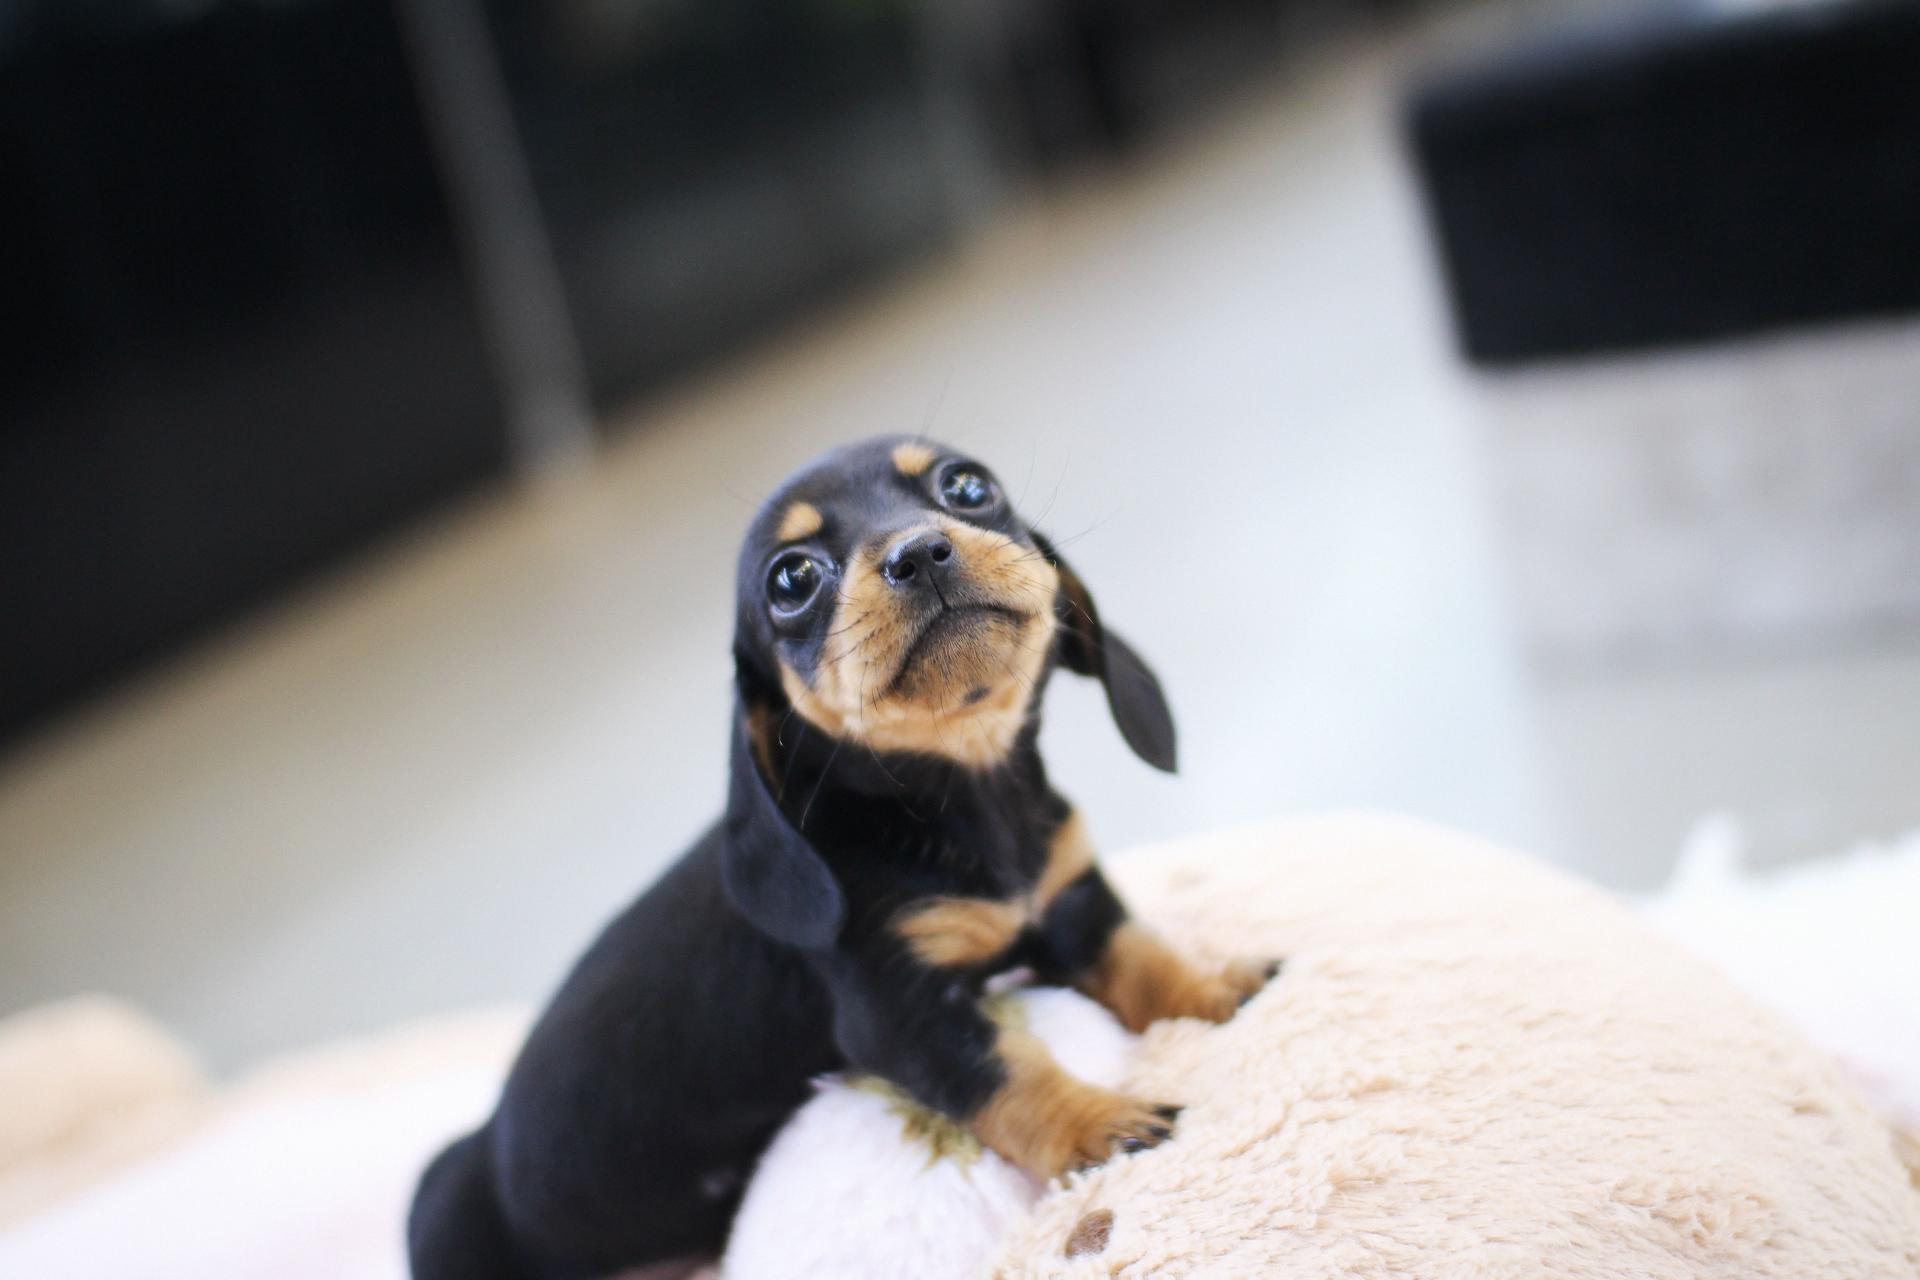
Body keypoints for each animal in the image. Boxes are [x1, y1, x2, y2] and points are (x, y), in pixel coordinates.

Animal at [408, 436, 1275, 1279]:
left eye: (968, 487)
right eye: (791, 578)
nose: (919, 553)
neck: (965, 804)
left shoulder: (1071, 901)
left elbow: (1142, 958)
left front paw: (1215, 990)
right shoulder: (896, 1012)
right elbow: (1004, 1069)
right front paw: (1096, 1123)